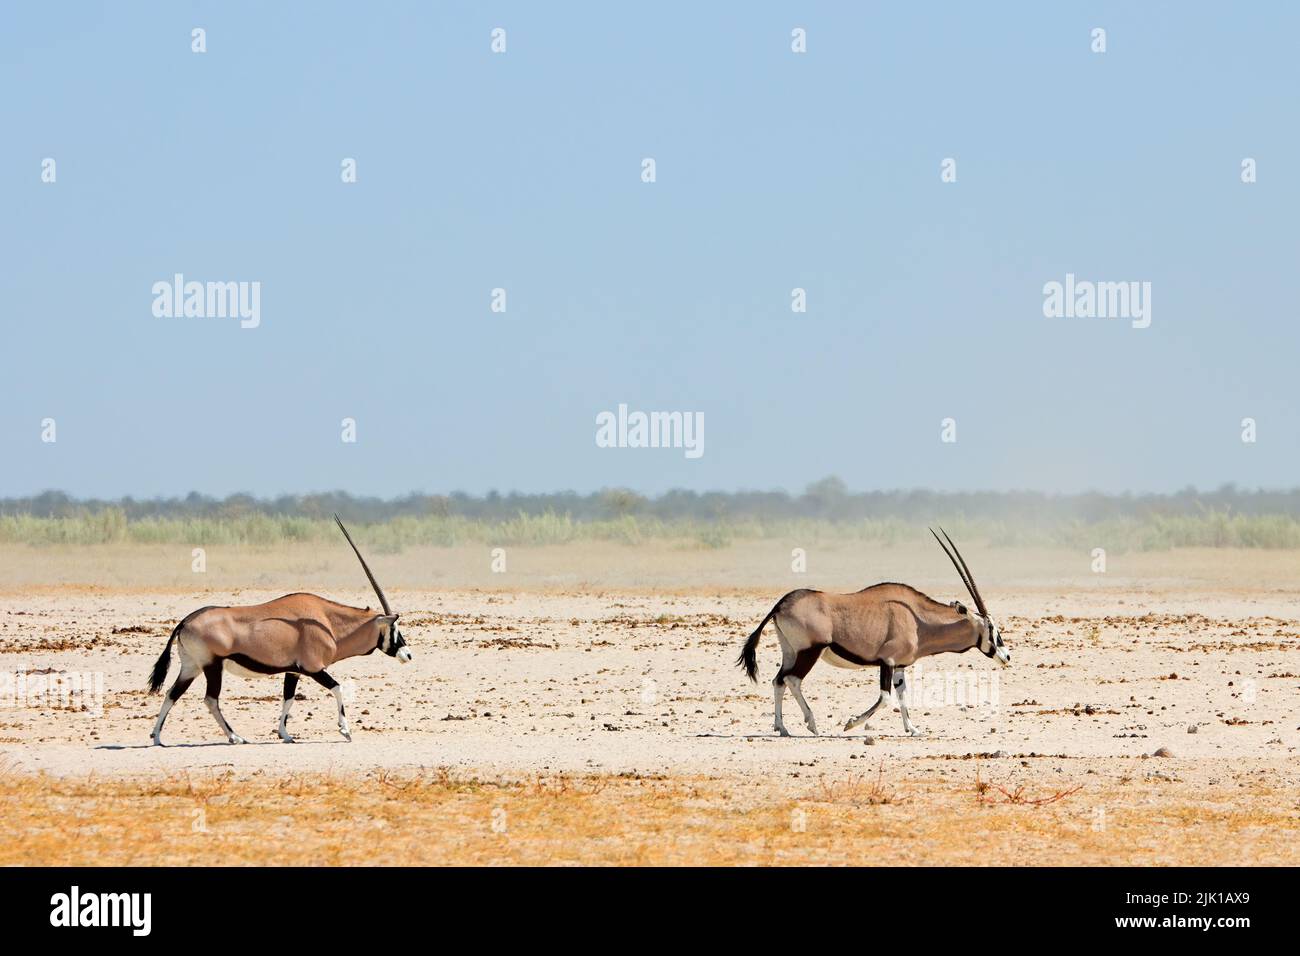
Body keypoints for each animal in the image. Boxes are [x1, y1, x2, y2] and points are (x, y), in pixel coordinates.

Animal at [143, 515, 408, 749]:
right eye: (394, 627)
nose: (408, 655)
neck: (328, 621)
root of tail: (185, 621)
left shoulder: (294, 671)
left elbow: (288, 698)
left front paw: (285, 734)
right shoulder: (313, 668)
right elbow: (337, 688)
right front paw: (345, 731)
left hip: (192, 666)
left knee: (172, 694)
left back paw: (157, 738)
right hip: (212, 666)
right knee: (210, 699)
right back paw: (235, 737)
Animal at [738, 530, 1008, 738]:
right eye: (991, 628)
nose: (1006, 656)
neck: (918, 620)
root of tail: (781, 604)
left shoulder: (899, 666)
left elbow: (902, 696)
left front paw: (913, 729)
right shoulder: (887, 662)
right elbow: (886, 698)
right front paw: (850, 724)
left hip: (790, 652)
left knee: (779, 681)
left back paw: (782, 728)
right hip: (810, 651)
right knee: (793, 680)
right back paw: (812, 725)